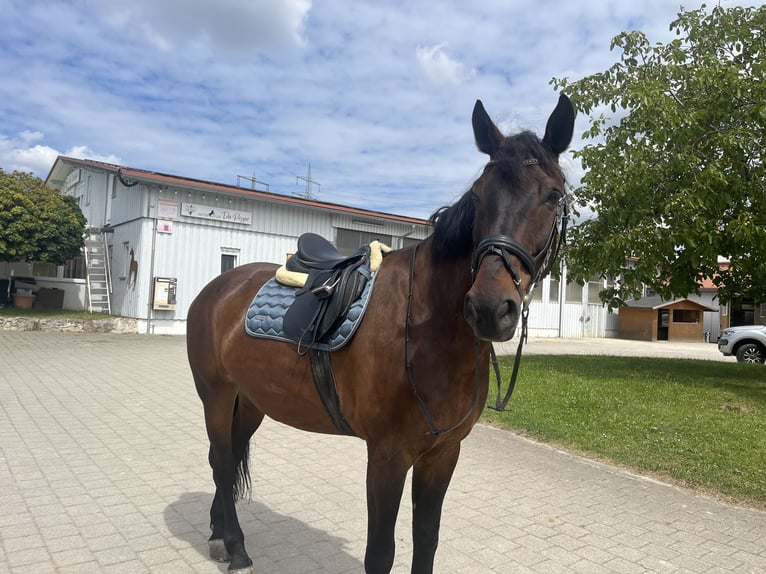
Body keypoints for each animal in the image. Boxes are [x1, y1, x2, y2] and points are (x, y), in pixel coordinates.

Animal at [189, 95, 576, 574]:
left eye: (553, 195)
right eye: (478, 195)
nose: (489, 308)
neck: (427, 332)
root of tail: (217, 288)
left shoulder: (442, 455)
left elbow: (426, 539)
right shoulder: (387, 456)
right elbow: (381, 553)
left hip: (250, 400)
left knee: (224, 458)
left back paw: (219, 532)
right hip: (216, 395)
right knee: (223, 462)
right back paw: (236, 546)